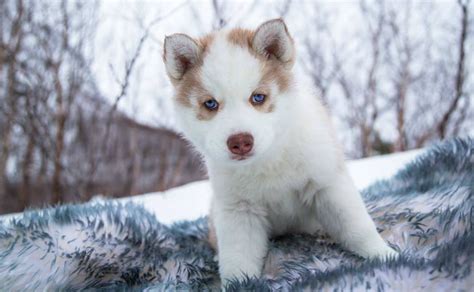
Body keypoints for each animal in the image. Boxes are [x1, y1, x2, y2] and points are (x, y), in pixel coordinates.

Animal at [163, 18, 396, 286]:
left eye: (258, 97)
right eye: (210, 104)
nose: (240, 142)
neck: (270, 159)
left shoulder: (328, 185)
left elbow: (357, 227)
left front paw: (385, 256)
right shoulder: (239, 210)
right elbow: (238, 258)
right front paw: (238, 284)